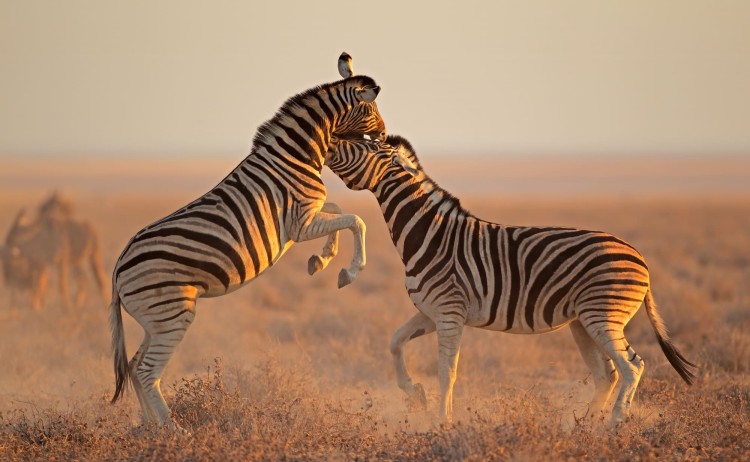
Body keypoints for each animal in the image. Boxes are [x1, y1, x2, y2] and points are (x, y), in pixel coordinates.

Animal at [109, 53, 386, 432]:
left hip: (153, 318)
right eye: (372, 110)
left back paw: (150, 429)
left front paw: (321, 260)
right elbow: (355, 221)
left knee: (135, 367)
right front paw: (349, 271)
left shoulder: (309, 214)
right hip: (171, 314)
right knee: (148, 371)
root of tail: (118, 269)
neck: (295, 156)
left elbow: (339, 210)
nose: (385, 135)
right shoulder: (300, 224)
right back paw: (174, 431)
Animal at [322, 135, 697, 424]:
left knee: (632, 367)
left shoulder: (449, 312)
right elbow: (395, 342)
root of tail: (640, 257)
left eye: (362, 146)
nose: (329, 143)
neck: (429, 234)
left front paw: (442, 422)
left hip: (602, 316)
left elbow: (447, 371)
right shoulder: (430, 312)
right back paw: (583, 428)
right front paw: (416, 395)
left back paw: (613, 425)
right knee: (607, 374)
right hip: (583, 322)